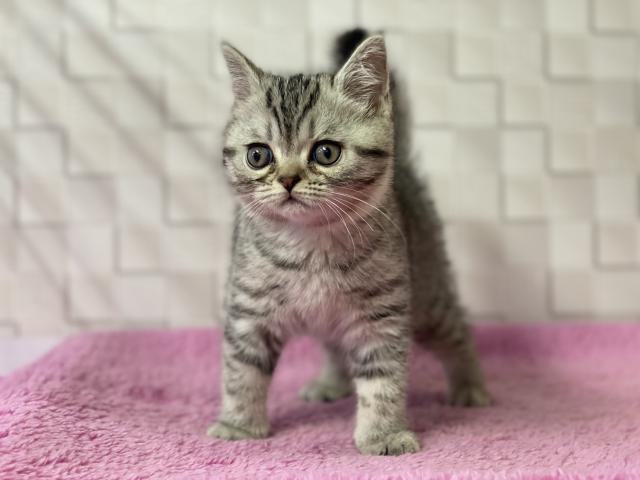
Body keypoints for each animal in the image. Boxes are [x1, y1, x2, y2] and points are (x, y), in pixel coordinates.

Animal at [207, 29, 491, 456]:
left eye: (326, 152)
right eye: (258, 156)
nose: (287, 179)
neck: (310, 246)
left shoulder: (382, 314)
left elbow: (383, 380)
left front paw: (383, 434)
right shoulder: (249, 310)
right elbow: (242, 370)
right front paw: (238, 424)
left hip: (428, 294)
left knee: (455, 330)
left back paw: (470, 385)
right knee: (335, 346)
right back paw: (331, 383)